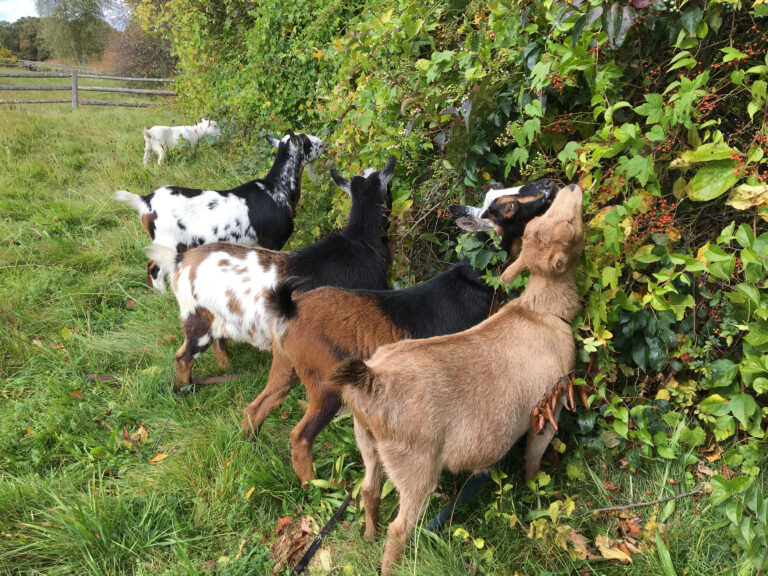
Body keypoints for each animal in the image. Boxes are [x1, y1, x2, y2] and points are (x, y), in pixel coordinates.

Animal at [115, 131, 325, 292]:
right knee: (154, 268)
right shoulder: (271, 241)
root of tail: (146, 201)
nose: (322, 143)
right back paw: (162, 294)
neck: (277, 188)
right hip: (166, 241)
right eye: (306, 140)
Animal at [144, 156, 396, 388]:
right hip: (197, 321)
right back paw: (186, 388)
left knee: (217, 343)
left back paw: (228, 369)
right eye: (389, 189)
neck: (361, 241)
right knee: (183, 357)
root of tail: (180, 260)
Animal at [240, 178, 559, 485]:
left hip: (287, 367)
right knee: (300, 436)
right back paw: (316, 488)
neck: (474, 280)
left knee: (257, 407)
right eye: (509, 207)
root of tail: (289, 309)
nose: (548, 184)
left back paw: (251, 448)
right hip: (326, 385)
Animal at [328, 184, 584, 575]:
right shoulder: (548, 408)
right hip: (416, 467)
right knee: (400, 528)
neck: (541, 311)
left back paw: (369, 536)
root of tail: (373, 378)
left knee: (369, 490)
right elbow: (533, 457)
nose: (567, 187)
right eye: (569, 225)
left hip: (367, 443)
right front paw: (533, 491)